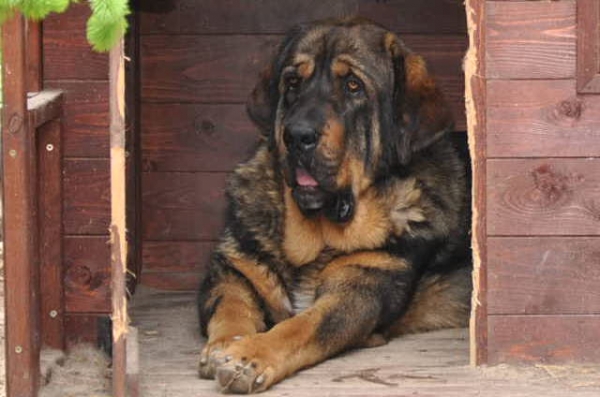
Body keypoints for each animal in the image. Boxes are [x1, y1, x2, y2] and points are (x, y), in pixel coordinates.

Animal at [199, 16, 472, 392]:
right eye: (293, 83)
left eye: (354, 86)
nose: (297, 135)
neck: (316, 237)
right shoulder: (233, 268)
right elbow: (231, 307)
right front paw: (227, 343)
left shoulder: (360, 289)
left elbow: (302, 326)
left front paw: (249, 356)